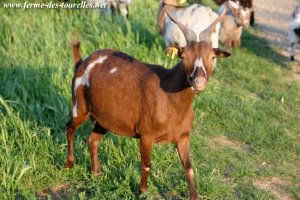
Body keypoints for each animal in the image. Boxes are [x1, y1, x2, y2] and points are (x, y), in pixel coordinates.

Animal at [65, 7, 230, 199]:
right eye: (183, 56)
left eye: (212, 57)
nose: (199, 81)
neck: (170, 98)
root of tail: (82, 62)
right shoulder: (146, 134)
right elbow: (146, 164)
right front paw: (142, 191)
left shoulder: (183, 136)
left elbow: (188, 168)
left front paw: (194, 196)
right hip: (80, 105)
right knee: (69, 128)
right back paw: (69, 163)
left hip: (104, 117)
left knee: (92, 140)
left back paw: (97, 173)